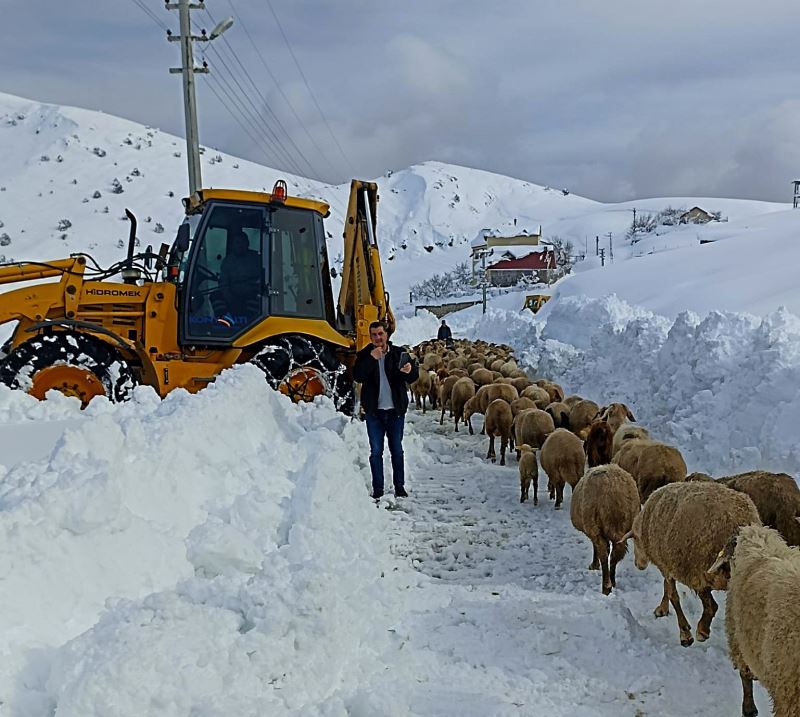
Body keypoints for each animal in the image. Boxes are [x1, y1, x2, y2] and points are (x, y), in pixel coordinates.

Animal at [572, 464, 640, 592]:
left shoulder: (594, 531)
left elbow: (597, 549)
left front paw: (594, 566)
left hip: (594, 525)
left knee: (603, 553)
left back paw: (606, 587)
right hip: (623, 526)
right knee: (615, 554)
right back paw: (612, 582)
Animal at [620, 482, 760, 648]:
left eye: (634, 539)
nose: (638, 565)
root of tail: (738, 521)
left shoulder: (671, 567)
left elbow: (673, 596)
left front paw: (685, 634)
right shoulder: (669, 565)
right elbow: (667, 589)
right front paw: (662, 609)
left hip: (701, 570)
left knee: (712, 606)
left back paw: (702, 631)